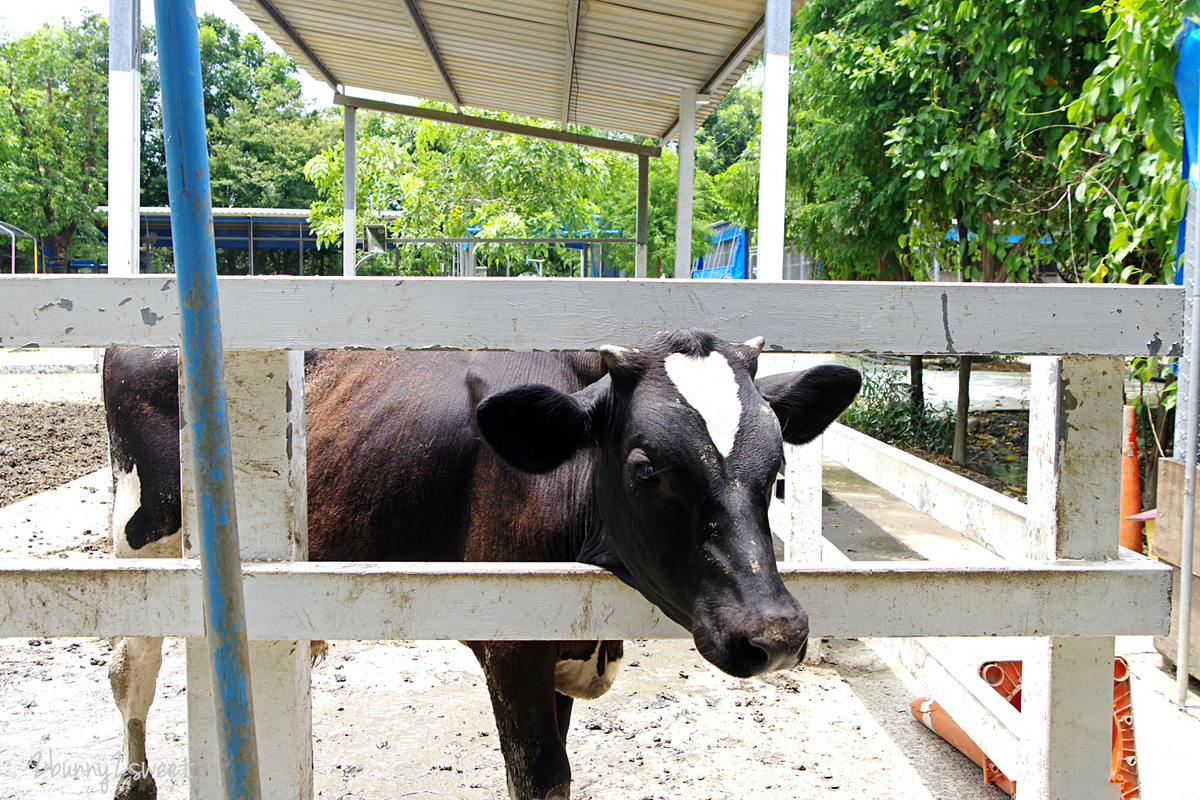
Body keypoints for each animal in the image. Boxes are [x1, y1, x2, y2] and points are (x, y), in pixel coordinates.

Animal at [100, 331, 854, 800]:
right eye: (645, 469)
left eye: (778, 469)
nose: (773, 634)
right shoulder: (510, 646)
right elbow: (541, 776)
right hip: (143, 532)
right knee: (133, 662)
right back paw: (134, 778)